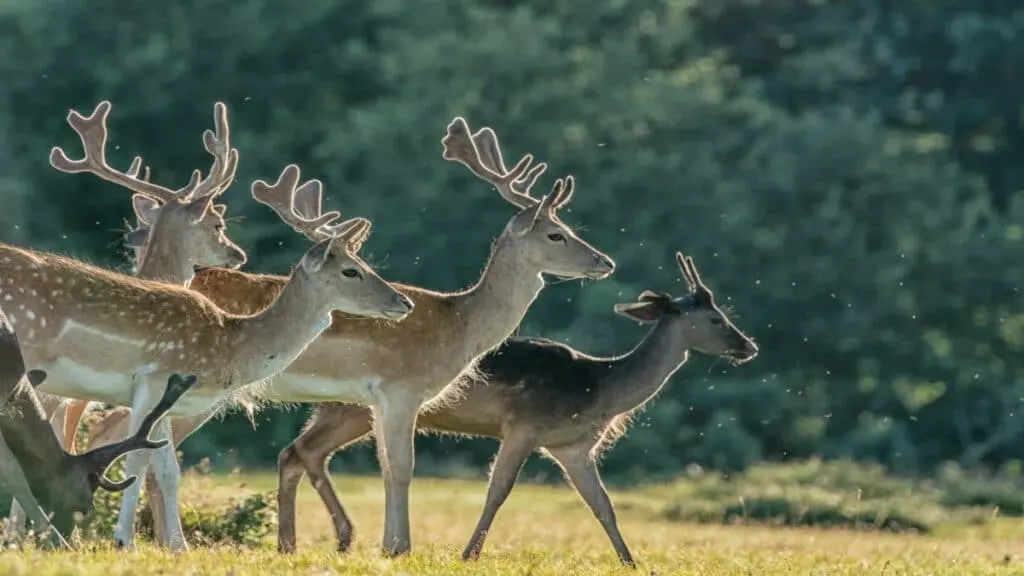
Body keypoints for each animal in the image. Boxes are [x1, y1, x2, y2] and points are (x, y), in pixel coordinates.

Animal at [74, 115, 614, 553]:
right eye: (556, 234)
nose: (605, 261)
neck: (458, 325)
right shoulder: (399, 389)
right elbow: (400, 467)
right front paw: (398, 548)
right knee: (117, 431)